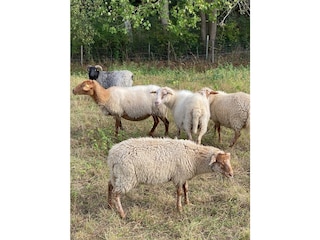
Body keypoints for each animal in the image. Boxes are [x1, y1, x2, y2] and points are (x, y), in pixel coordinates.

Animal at [106, 137, 234, 218]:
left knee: (110, 185)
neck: (195, 158)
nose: (231, 174)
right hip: (127, 176)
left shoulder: (184, 176)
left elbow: (186, 189)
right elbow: (179, 192)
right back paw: (122, 214)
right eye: (220, 163)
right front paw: (179, 209)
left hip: (116, 175)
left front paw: (187, 203)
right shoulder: (179, 176)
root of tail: (112, 154)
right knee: (116, 193)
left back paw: (110, 205)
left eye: (228, 161)